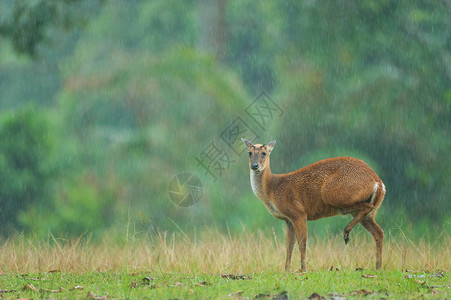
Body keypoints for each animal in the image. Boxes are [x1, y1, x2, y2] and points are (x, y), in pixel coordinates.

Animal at [242, 138, 386, 272]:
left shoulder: (298, 212)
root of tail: (378, 182)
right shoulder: (288, 220)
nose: (254, 165)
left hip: (333, 193)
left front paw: (304, 269)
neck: (272, 189)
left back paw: (346, 232)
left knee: (367, 209)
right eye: (249, 153)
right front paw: (286, 270)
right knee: (379, 232)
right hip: (365, 211)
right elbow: (289, 246)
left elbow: (302, 243)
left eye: (264, 153)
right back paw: (378, 267)